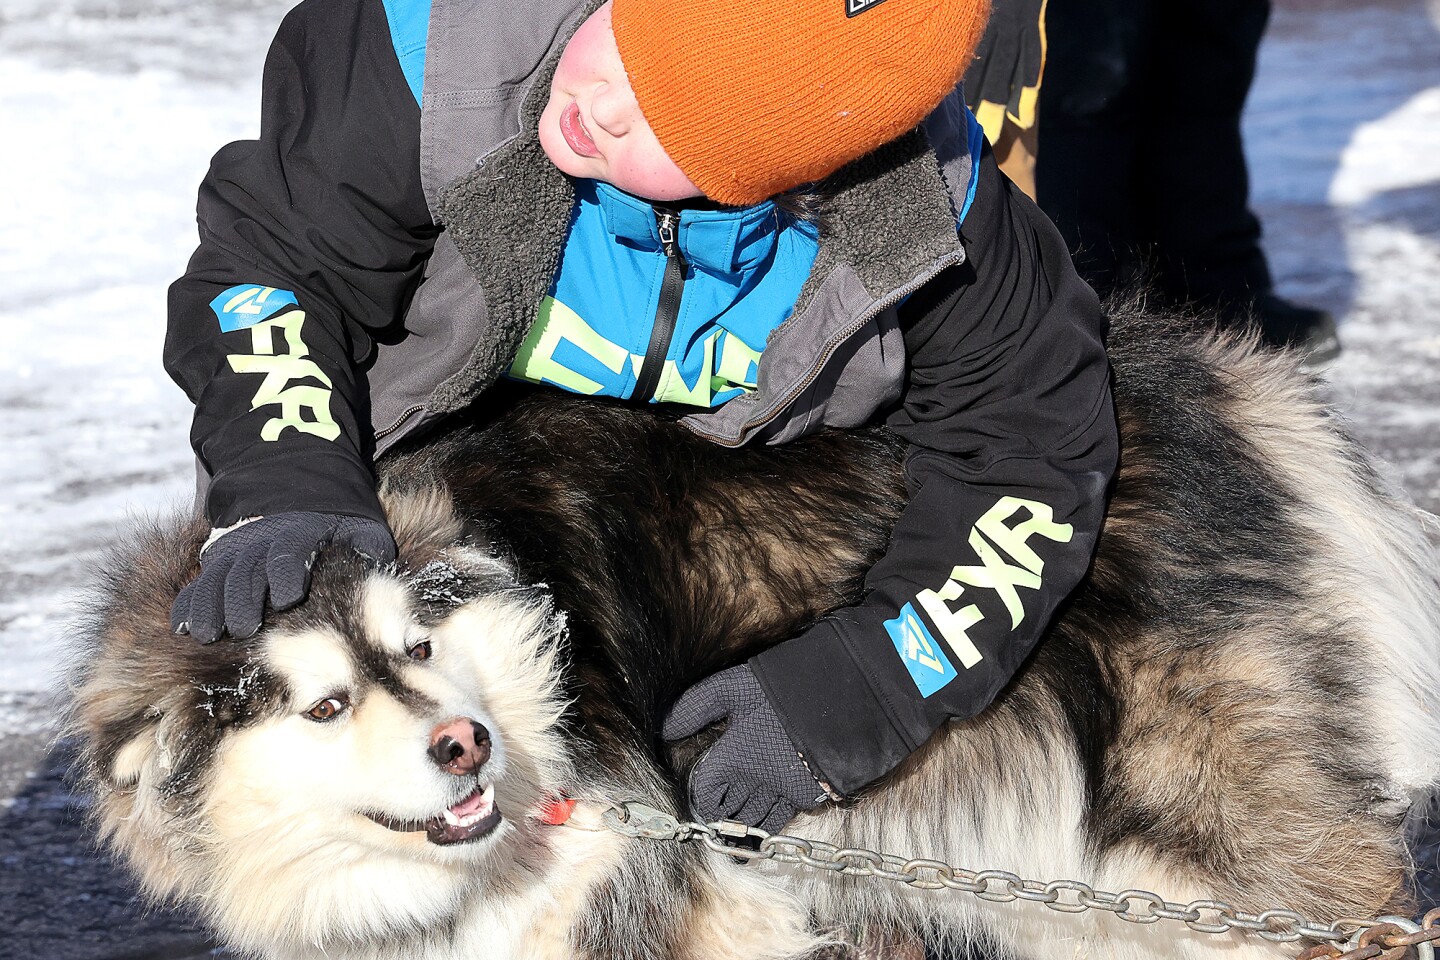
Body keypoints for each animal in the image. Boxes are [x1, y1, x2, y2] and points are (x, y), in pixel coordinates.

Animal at [73, 309, 1440, 960]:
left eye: (413, 650)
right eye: (324, 704)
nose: (465, 746)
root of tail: (1200, 375)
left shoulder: (674, 908)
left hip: (1191, 837)